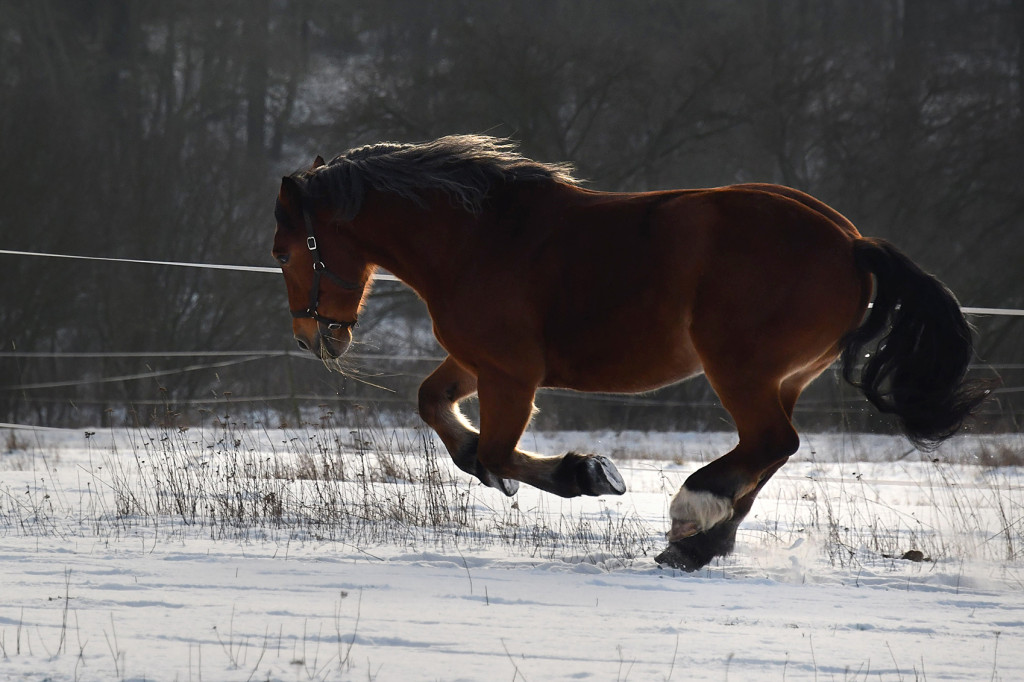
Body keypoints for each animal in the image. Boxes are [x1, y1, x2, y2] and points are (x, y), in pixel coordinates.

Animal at [270, 133, 983, 569]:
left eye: (284, 250)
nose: (313, 338)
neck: (478, 238)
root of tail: (851, 243)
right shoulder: (475, 364)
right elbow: (435, 409)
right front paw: (505, 467)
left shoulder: (511, 372)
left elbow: (498, 451)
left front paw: (587, 473)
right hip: (783, 378)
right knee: (769, 453)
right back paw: (701, 541)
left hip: (740, 369)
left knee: (772, 443)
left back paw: (692, 516)